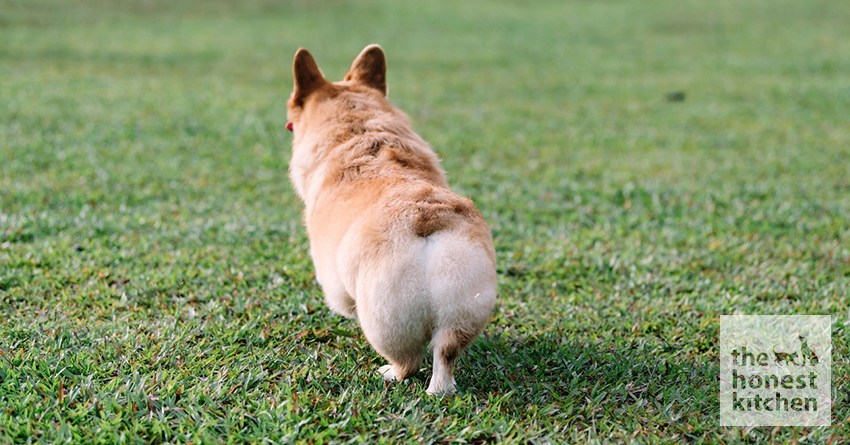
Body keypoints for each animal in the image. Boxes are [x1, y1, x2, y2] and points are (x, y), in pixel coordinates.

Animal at [284, 43, 496, 394]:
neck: (357, 127)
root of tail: (427, 220)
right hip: (464, 308)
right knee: (445, 354)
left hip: (384, 320)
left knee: (408, 361)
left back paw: (388, 373)